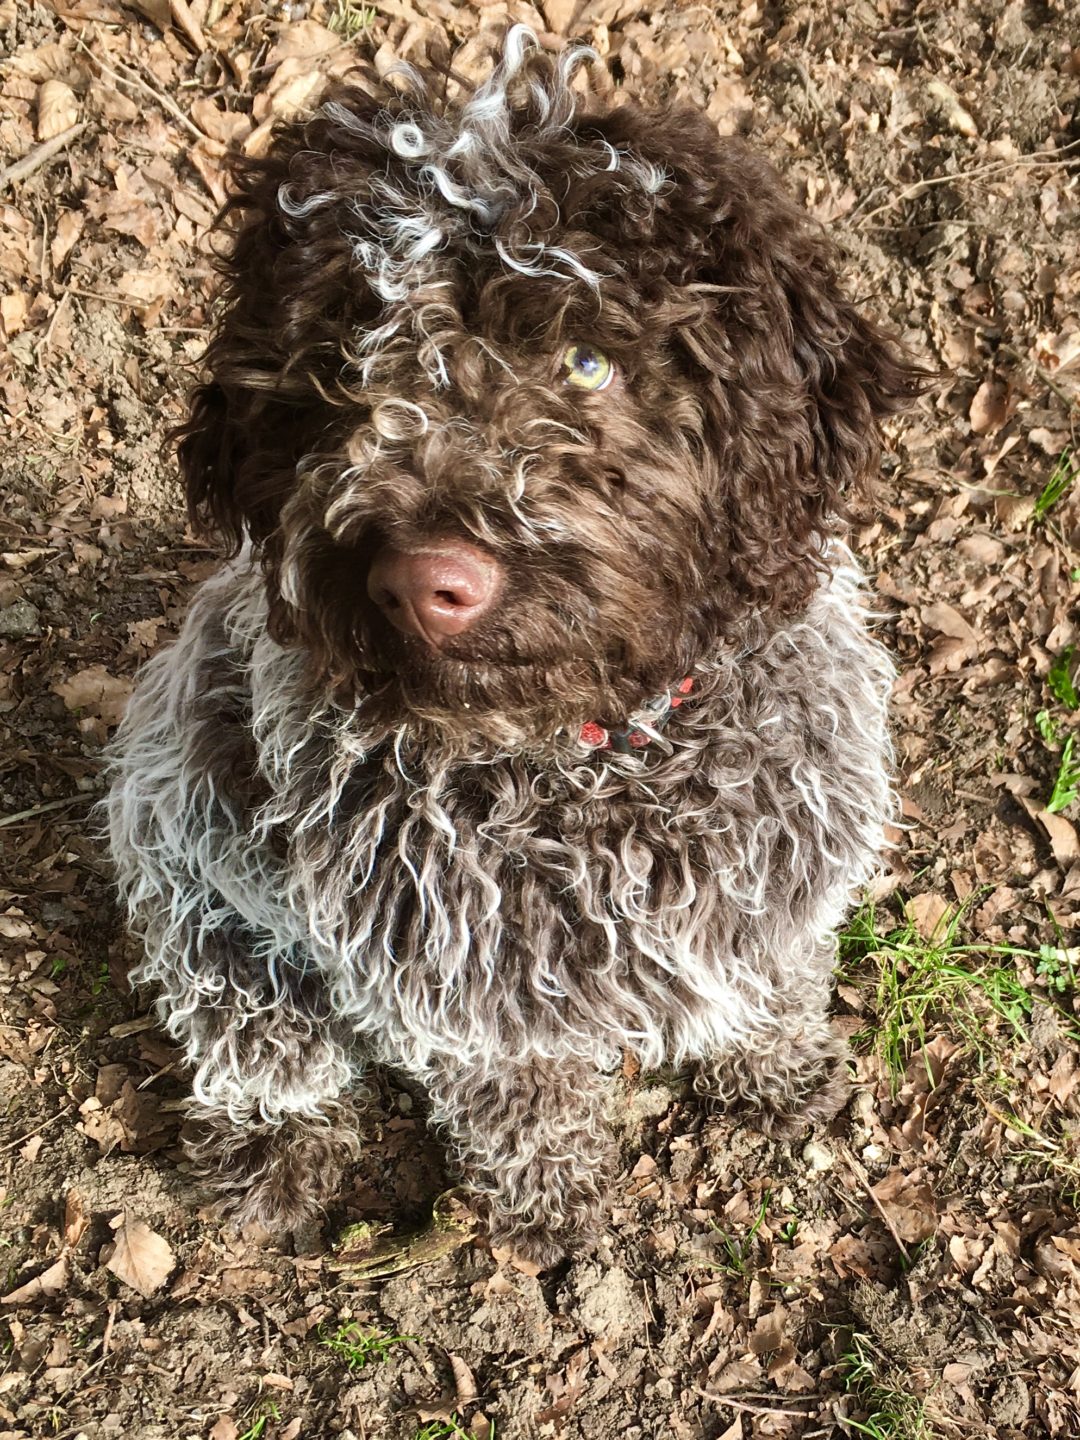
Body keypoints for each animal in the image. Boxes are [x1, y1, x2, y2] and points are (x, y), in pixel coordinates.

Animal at [108, 22, 921, 1261]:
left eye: (586, 361)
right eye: (340, 367)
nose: (421, 582)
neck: (599, 755)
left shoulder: (771, 889)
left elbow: (769, 990)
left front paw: (775, 1070)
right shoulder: (461, 985)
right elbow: (521, 1103)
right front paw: (552, 1208)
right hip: (200, 889)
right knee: (254, 1036)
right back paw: (272, 1145)